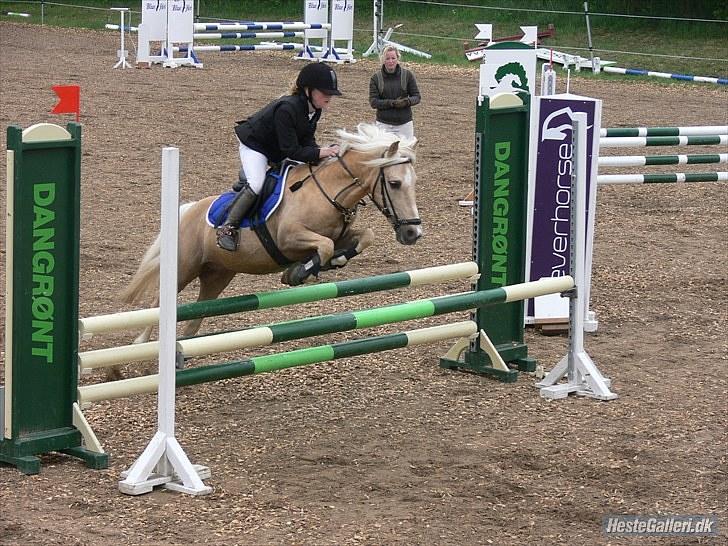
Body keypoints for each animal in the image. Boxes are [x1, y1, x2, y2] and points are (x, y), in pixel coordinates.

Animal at [121, 122, 420, 344]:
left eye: (414, 182)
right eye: (394, 183)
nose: (413, 233)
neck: (329, 191)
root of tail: (188, 211)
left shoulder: (341, 234)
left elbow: (364, 236)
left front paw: (335, 260)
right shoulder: (289, 238)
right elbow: (323, 245)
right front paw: (298, 272)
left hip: (217, 275)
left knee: (195, 316)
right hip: (184, 268)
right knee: (160, 302)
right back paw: (138, 349)